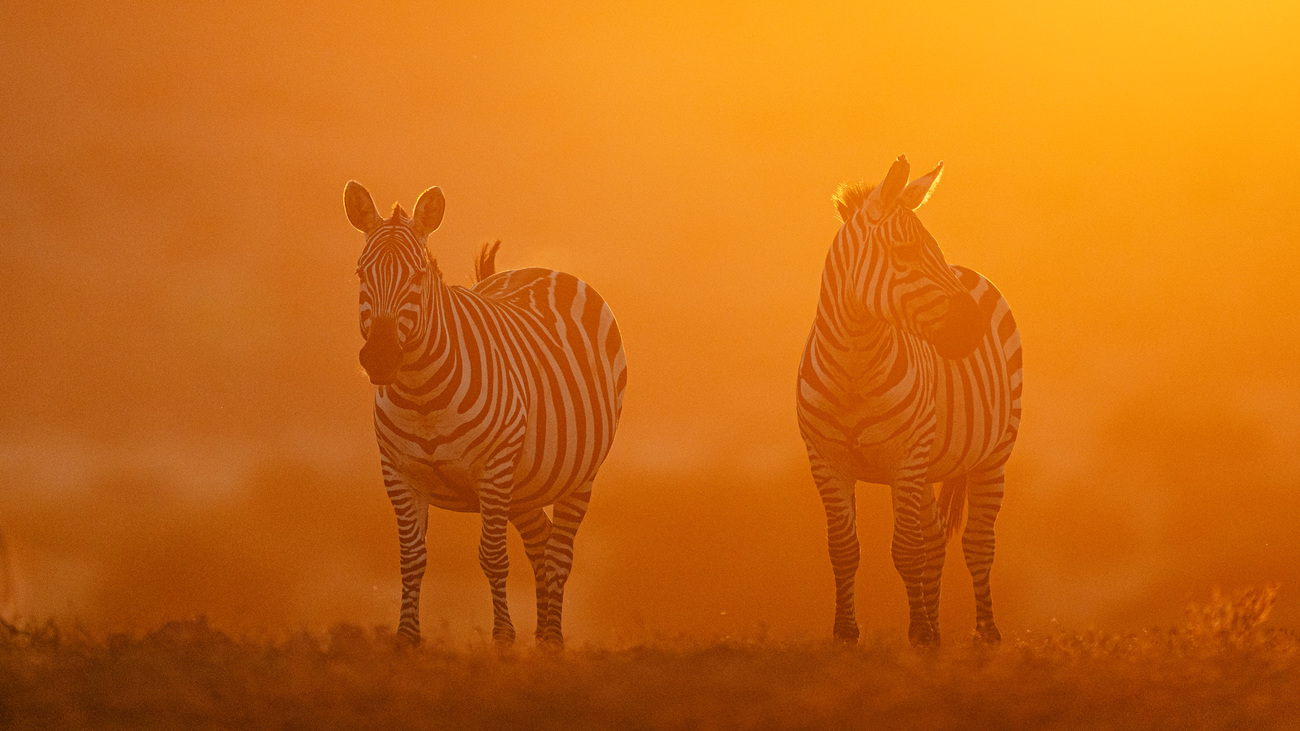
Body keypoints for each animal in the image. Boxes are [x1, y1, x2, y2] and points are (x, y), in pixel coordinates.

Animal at [345, 179, 629, 645]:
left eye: (418, 276)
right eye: (360, 274)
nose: (381, 358)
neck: (423, 396)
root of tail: (534, 269)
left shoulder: (493, 470)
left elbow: (492, 557)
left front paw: (503, 640)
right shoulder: (398, 473)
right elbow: (411, 558)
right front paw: (407, 640)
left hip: (578, 473)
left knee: (560, 552)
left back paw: (552, 641)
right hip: (526, 482)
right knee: (541, 544)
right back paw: (542, 638)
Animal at [795, 156, 1019, 645]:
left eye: (931, 250)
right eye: (905, 255)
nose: (974, 327)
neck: (854, 367)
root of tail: (968, 270)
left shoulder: (907, 460)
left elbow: (906, 550)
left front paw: (918, 634)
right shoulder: (825, 461)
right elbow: (844, 549)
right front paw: (847, 634)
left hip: (993, 454)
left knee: (977, 543)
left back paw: (987, 636)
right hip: (936, 463)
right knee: (936, 539)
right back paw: (938, 631)